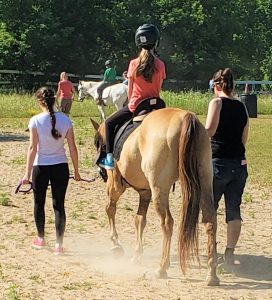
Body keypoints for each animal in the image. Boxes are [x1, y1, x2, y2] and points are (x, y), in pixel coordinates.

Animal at [91, 108, 219, 286]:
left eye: (97, 143)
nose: (101, 171)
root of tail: (185, 117)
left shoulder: (115, 185)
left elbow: (110, 209)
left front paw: (116, 244)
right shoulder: (145, 192)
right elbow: (139, 220)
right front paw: (137, 254)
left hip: (159, 190)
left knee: (167, 223)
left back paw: (162, 267)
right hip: (204, 182)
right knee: (210, 221)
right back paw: (212, 273)